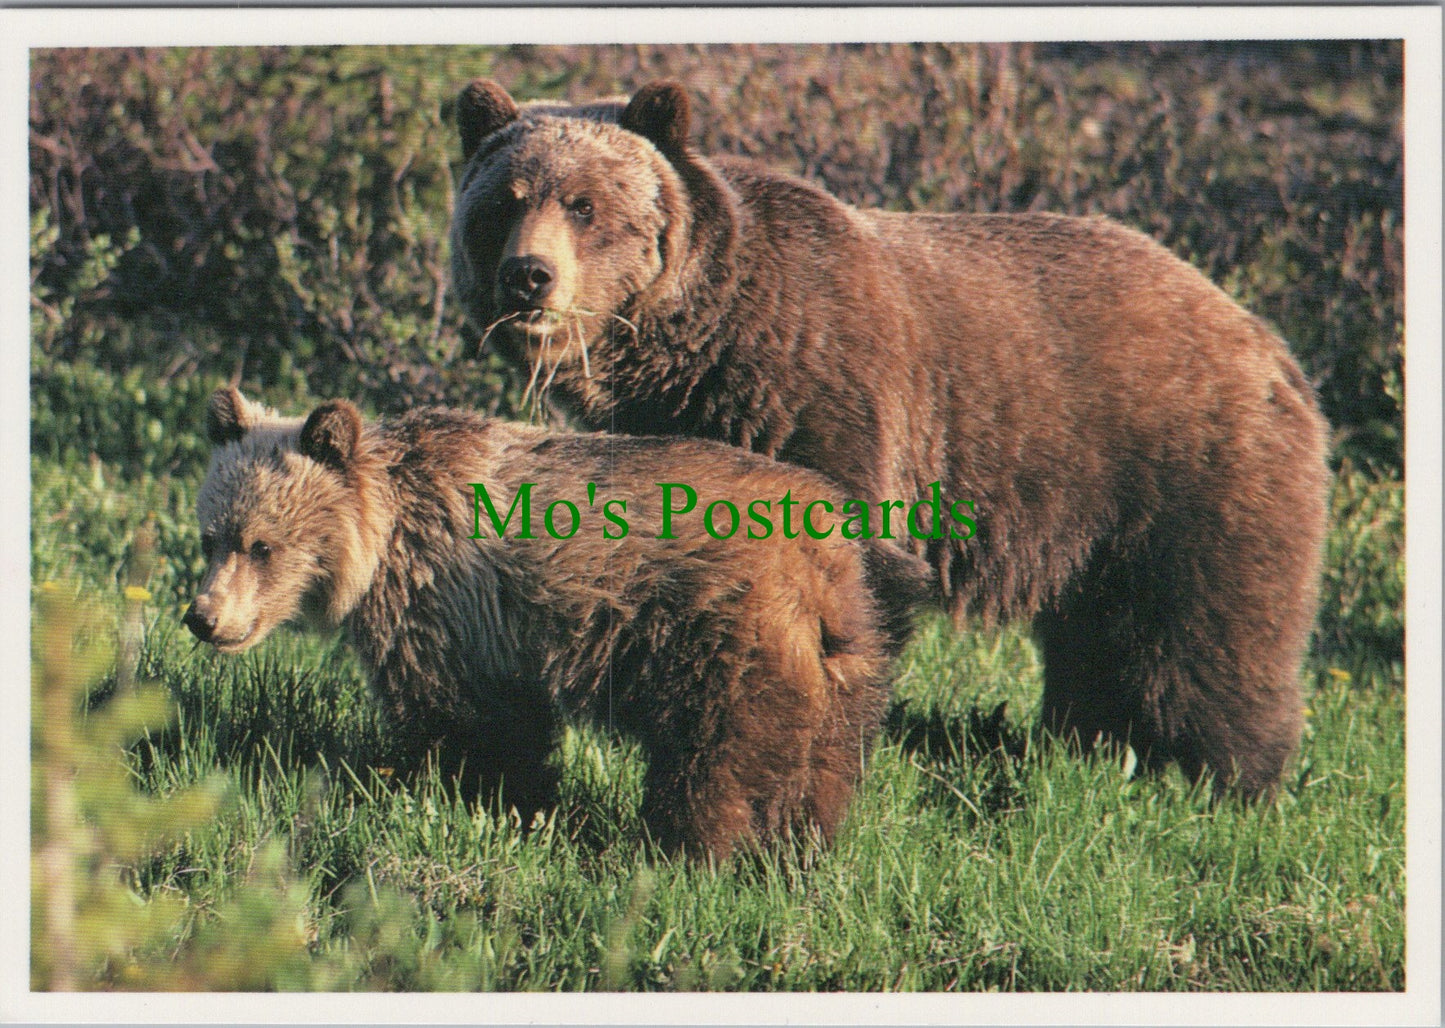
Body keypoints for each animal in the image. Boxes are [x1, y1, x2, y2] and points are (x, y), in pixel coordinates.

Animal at [183, 387, 932, 859]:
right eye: (210, 535)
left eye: (262, 544)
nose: (203, 617)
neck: (381, 542)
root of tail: (824, 554)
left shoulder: (442, 607)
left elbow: (463, 719)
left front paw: (451, 789)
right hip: (849, 656)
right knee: (827, 762)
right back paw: (800, 848)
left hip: (722, 636)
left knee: (715, 761)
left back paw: (687, 850)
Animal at [448, 78, 1332, 798]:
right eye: (503, 202)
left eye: (584, 204)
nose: (528, 277)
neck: (696, 352)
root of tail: (1263, 337)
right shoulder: (674, 439)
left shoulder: (823, 392)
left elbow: (848, 571)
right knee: (1102, 637)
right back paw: (1087, 739)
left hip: (1178, 462)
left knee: (1206, 627)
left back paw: (1224, 773)